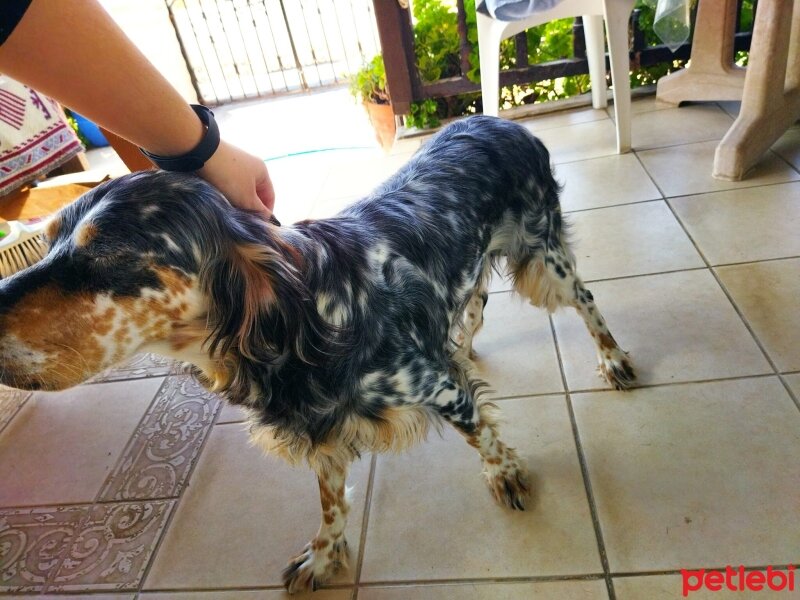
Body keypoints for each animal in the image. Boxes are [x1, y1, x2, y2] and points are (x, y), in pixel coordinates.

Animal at [0, 115, 636, 592]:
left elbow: (481, 433)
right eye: (48, 240)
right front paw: (325, 556)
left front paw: (504, 474)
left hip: (545, 256)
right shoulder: (320, 423)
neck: (311, 319)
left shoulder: (437, 387)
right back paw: (465, 341)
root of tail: (502, 120)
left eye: (107, 253)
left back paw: (613, 359)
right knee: (475, 300)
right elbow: (330, 502)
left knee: (587, 303)